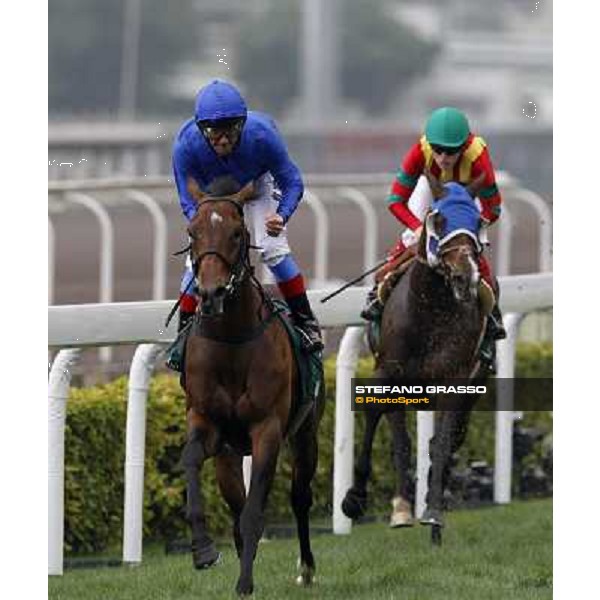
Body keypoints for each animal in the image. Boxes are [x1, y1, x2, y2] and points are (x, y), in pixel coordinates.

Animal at [182, 176, 326, 592]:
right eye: (192, 232)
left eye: (236, 232)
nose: (210, 293)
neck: (232, 338)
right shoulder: (205, 420)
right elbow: (190, 461)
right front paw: (202, 548)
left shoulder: (268, 429)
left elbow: (255, 513)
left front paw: (245, 583)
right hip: (229, 454)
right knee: (235, 503)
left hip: (305, 434)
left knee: (299, 497)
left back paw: (306, 568)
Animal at [342, 173, 492, 544]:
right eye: (439, 219)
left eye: (477, 221)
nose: (465, 276)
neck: (431, 311)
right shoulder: (388, 369)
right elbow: (380, 420)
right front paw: (354, 498)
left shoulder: (456, 378)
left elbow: (441, 442)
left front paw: (435, 511)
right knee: (401, 437)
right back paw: (401, 507)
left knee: (446, 440)